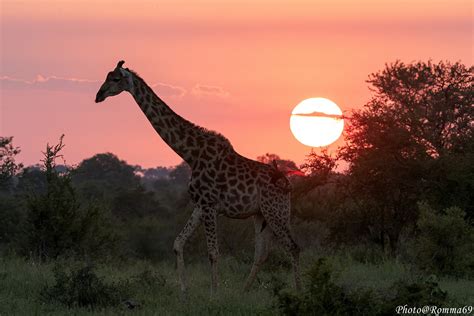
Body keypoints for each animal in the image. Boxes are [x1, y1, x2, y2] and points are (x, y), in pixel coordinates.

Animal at [94, 60, 300, 296]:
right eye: (107, 76)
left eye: (115, 79)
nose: (98, 95)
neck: (190, 154)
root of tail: (288, 184)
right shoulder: (200, 205)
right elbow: (178, 242)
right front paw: (184, 290)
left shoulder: (210, 204)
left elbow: (213, 252)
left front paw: (214, 294)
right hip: (261, 214)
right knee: (262, 253)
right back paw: (243, 291)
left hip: (275, 211)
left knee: (293, 247)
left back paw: (299, 291)